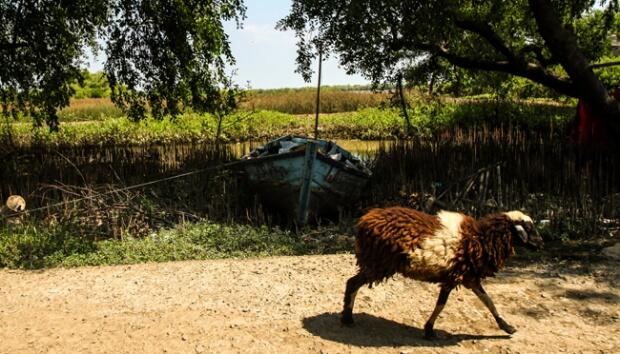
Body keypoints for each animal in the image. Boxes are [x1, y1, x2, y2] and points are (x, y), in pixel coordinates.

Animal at [344, 207, 544, 340]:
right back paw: (347, 318)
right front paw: (429, 330)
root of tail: (364, 220)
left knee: (352, 283)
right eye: (529, 227)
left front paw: (507, 327)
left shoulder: (469, 277)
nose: (541, 243)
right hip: (378, 263)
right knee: (352, 283)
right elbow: (441, 305)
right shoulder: (453, 276)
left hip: (378, 263)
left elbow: (488, 301)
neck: (482, 237)